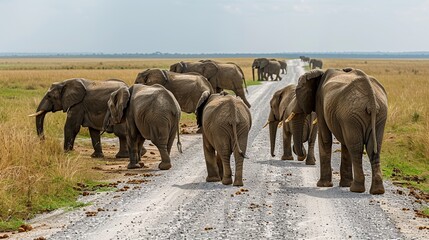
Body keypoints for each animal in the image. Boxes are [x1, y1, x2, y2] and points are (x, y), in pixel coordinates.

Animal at [288, 67, 388, 195]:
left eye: (298, 94)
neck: (319, 73)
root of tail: (371, 97)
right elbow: (345, 143)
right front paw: (344, 184)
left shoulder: (321, 102)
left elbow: (325, 138)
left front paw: (323, 185)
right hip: (376, 114)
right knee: (373, 147)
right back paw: (377, 191)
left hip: (352, 114)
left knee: (356, 148)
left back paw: (356, 189)